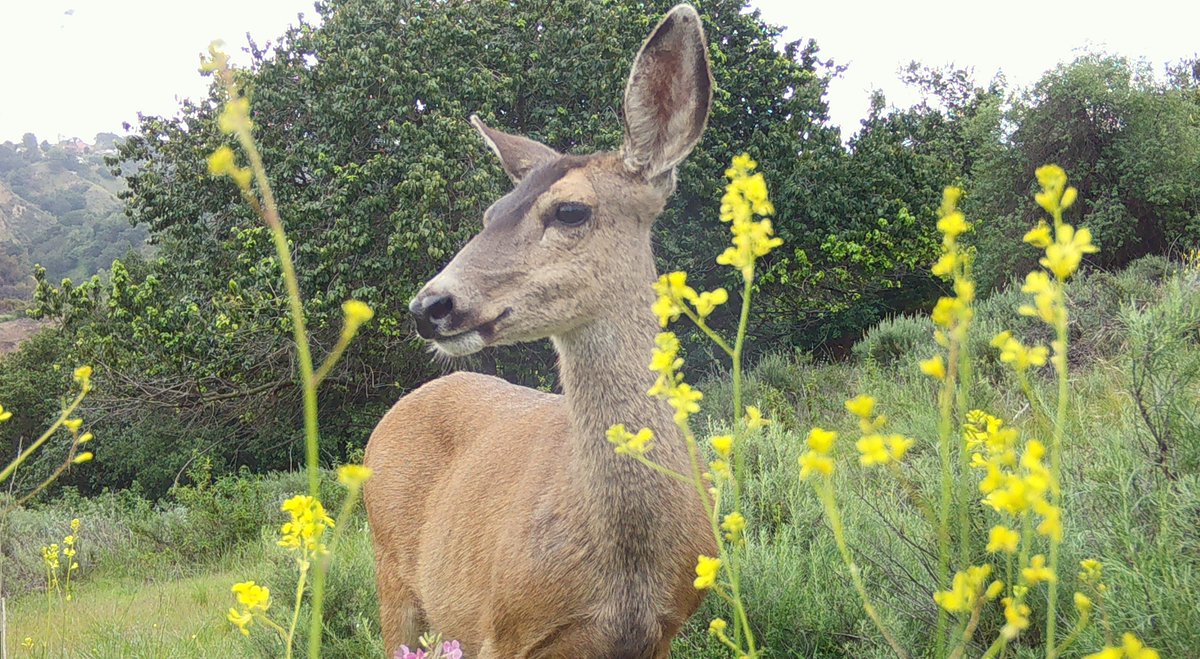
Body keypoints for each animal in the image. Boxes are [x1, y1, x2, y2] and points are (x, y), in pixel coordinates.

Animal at [362, 6, 720, 657]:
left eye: (570, 210)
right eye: (489, 215)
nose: (430, 306)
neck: (625, 562)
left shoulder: (666, 627)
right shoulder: (505, 627)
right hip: (392, 575)